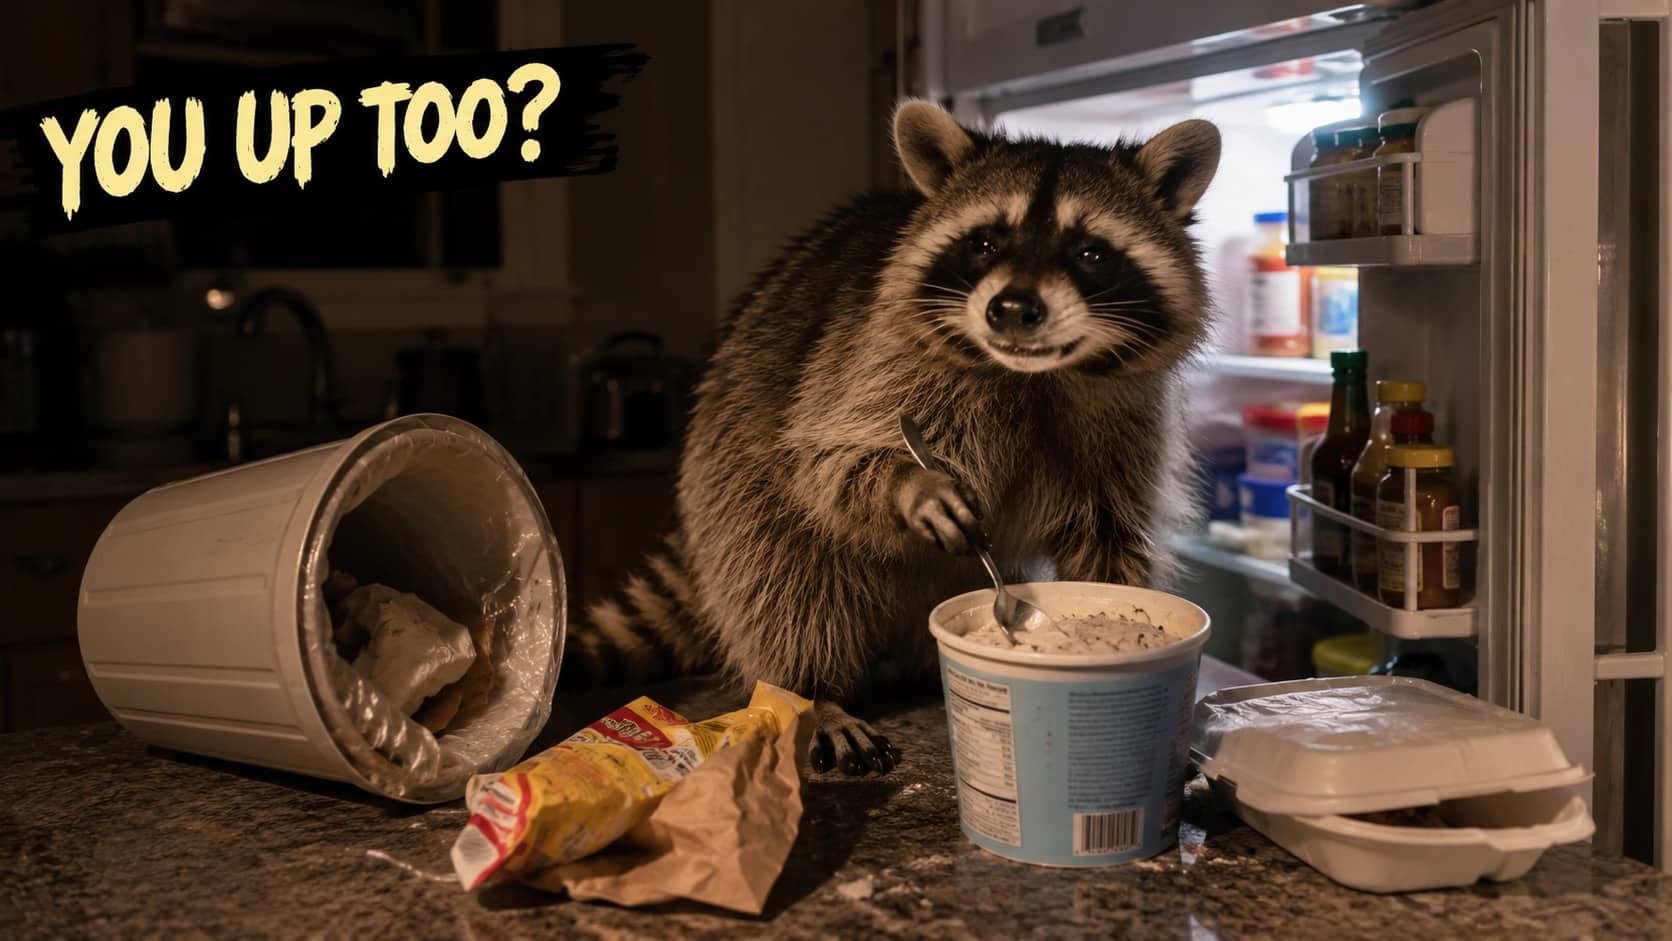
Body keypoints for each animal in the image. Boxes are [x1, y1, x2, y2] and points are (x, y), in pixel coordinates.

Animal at [561, 101, 1221, 776]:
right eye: (984, 243)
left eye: (1090, 253)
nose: (1012, 309)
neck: (1032, 377)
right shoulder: (871, 361)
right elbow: (830, 464)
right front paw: (912, 483)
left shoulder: (1128, 419)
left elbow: (1109, 535)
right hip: (727, 458)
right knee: (782, 572)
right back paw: (808, 690)